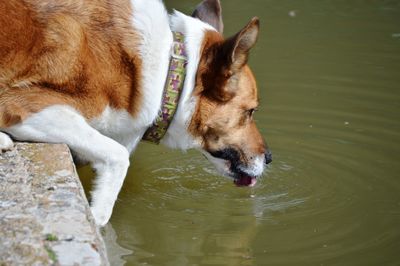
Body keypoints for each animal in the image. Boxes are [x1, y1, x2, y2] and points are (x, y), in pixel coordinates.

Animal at [0, 0, 272, 225]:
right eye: (251, 111)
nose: (269, 158)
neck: (170, 72)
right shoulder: (23, 103)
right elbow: (119, 158)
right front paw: (96, 217)